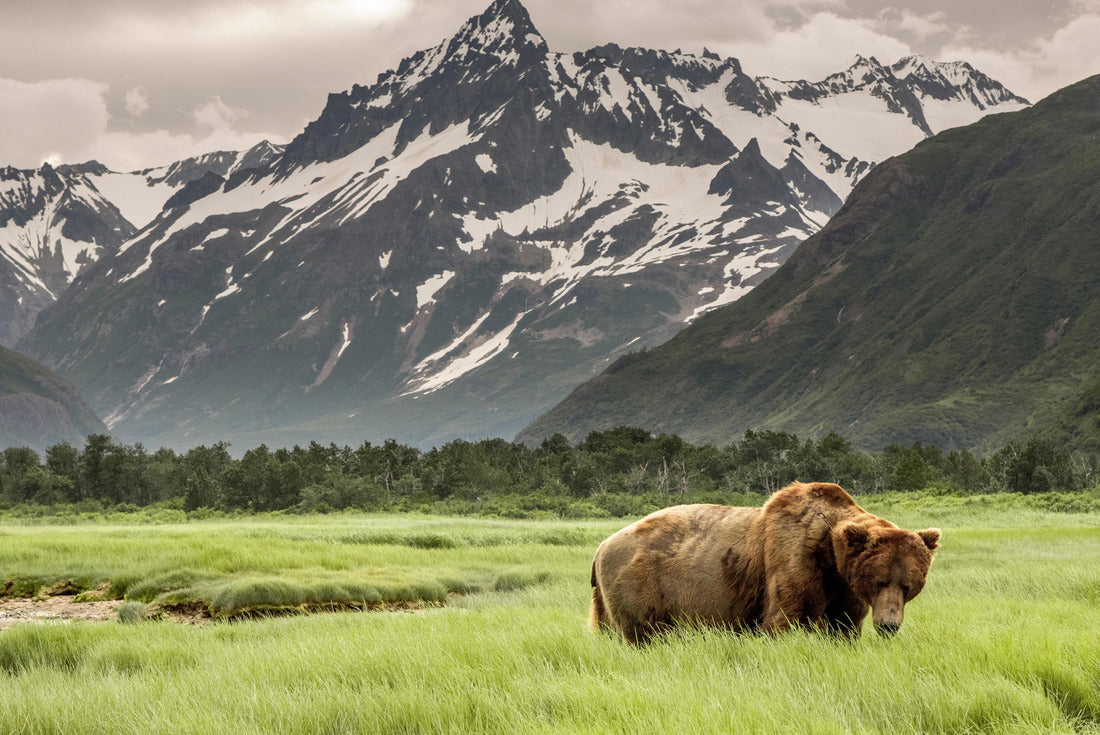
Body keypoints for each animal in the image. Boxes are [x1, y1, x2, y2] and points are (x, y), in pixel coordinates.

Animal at [589, 481, 940, 643]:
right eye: (879, 580)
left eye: (909, 585)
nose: (889, 625)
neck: (831, 555)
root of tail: (601, 546)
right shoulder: (794, 558)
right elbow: (784, 618)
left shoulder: (843, 588)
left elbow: (843, 624)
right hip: (642, 581)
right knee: (642, 633)